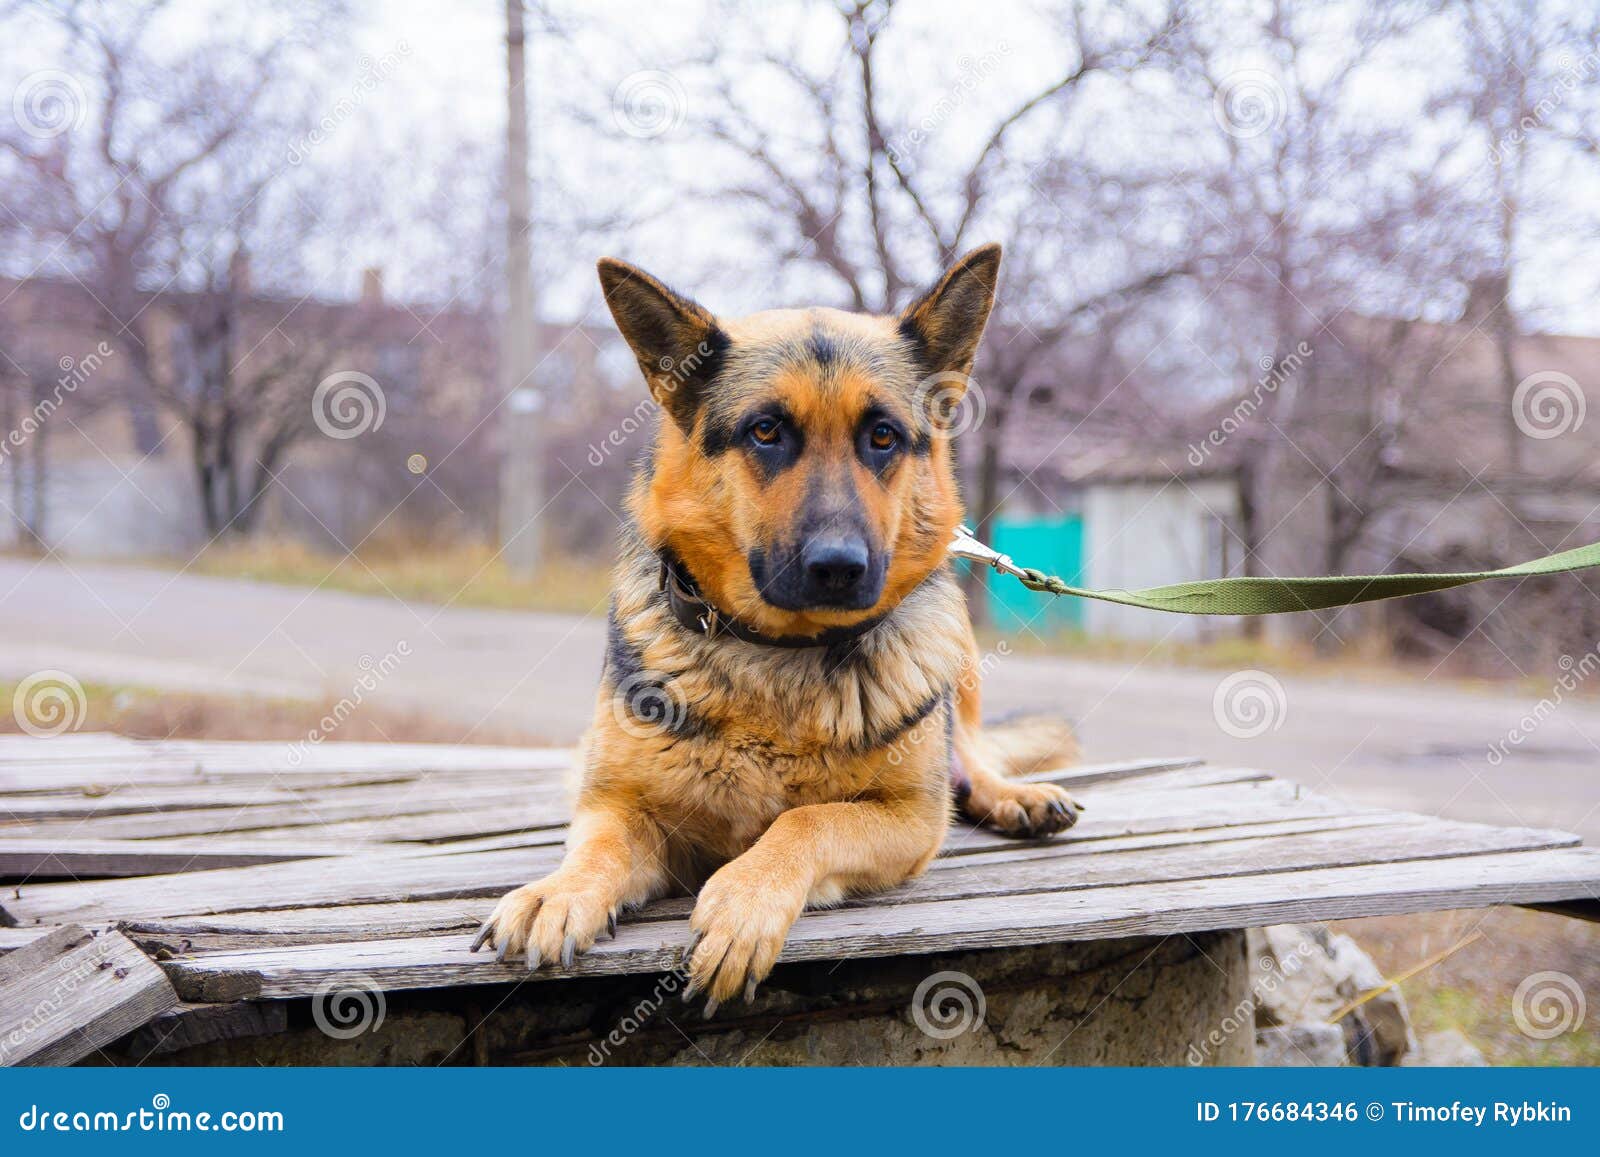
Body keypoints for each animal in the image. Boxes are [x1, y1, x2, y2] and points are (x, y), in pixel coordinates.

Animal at [467, 246, 1081, 1011]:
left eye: (882, 436)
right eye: (766, 430)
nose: (839, 567)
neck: (779, 652)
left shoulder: (909, 820)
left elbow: (806, 819)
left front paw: (745, 900)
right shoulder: (619, 806)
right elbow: (599, 846)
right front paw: (559, 891)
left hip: (958, 670)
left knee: (967, 753)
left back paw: (1013, 796)